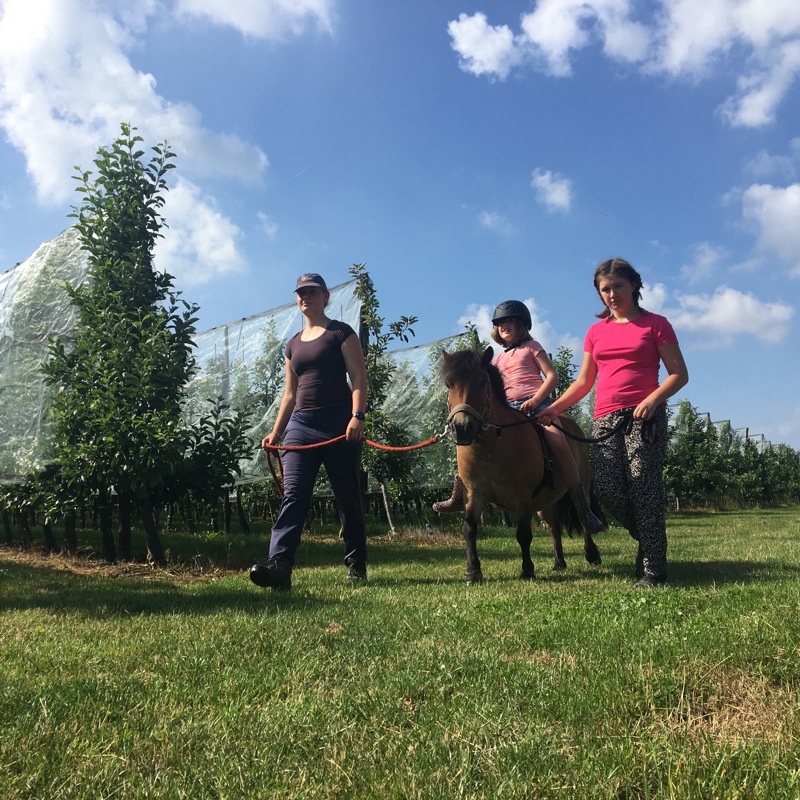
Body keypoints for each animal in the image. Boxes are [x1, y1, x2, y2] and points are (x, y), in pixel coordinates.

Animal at [440, 346, 604, 584]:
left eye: (482, 382)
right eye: (448, 384)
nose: (462, 428)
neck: (491, 445)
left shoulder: (523, 498)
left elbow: (523, 534)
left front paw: (527, 570)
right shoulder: (474, 493)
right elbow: (469, 528)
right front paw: (473, 571)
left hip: (579, 482)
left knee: (583, 514)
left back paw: (592, 554)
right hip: (546, 500)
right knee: (553, 526)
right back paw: (559, 562)